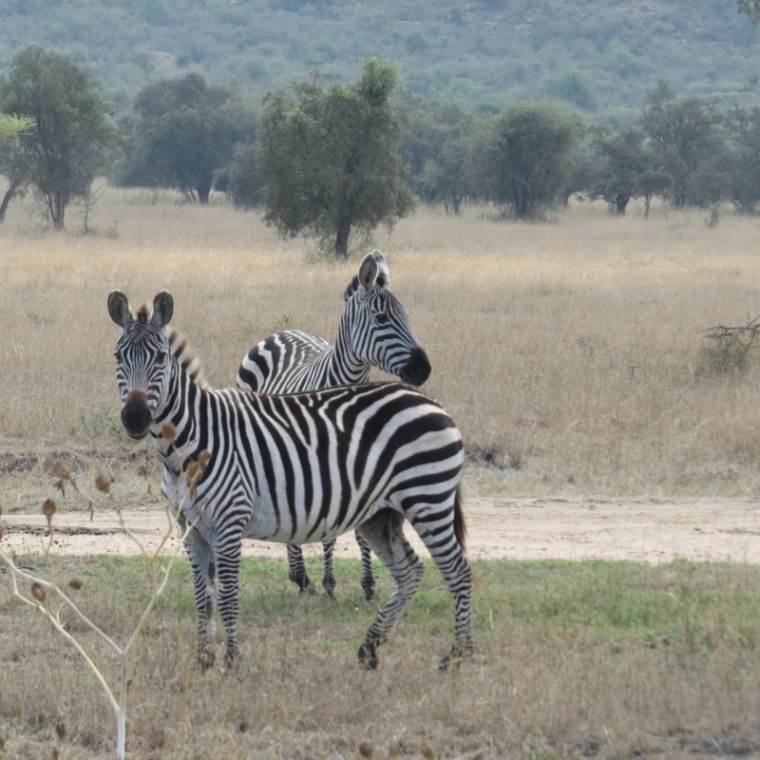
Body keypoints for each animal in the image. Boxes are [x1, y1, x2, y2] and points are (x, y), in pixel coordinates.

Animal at [108, 289, 473, 672]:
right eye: (117, 356)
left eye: (160, 358)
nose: (135, 418)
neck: (189, 446)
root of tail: (432, 403)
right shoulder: (190, 528)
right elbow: (202, 599)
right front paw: (203, 661)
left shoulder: (229, 523)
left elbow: (227, 598)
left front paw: (231, 662)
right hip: (381, 515)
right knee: (410, 571)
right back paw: (369, 649)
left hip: (428, 499)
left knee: (458, 571)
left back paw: (457, 656)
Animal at [237, 249, 431, 602]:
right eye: (381, 320)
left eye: (406, 316)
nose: (423, 369)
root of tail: (282, 333)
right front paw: (329, 583)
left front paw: (368, 585)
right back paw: (301, 576)